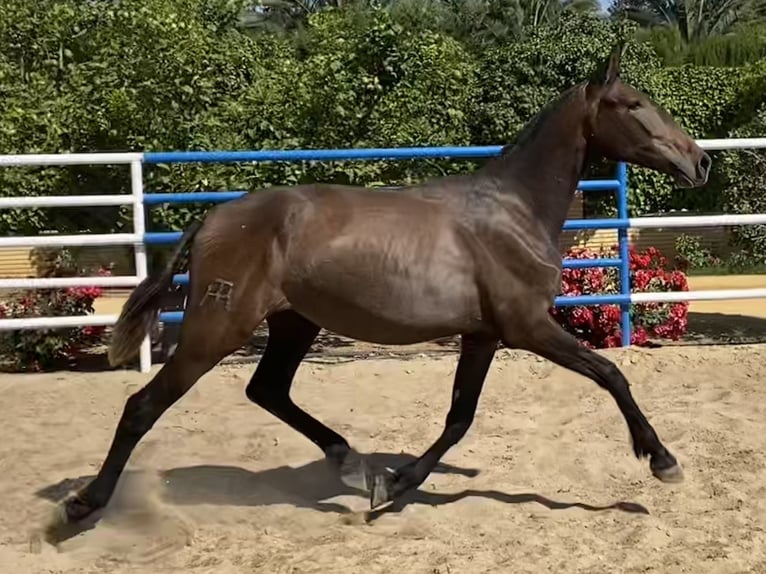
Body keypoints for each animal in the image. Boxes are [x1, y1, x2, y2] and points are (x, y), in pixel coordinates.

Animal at [54, 45, 712, 532]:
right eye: (633, 104)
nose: (699, 162)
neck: (512, 212)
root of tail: (215, 218)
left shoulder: (482, 335)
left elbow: (459, 417)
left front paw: (393, 484)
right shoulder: (528, 327)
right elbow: (612, 375)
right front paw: (663, 461)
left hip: (294, 322)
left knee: (268, 390)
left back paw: (354, 465)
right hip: (216, 329)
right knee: (143, 407)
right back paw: (83, 504)